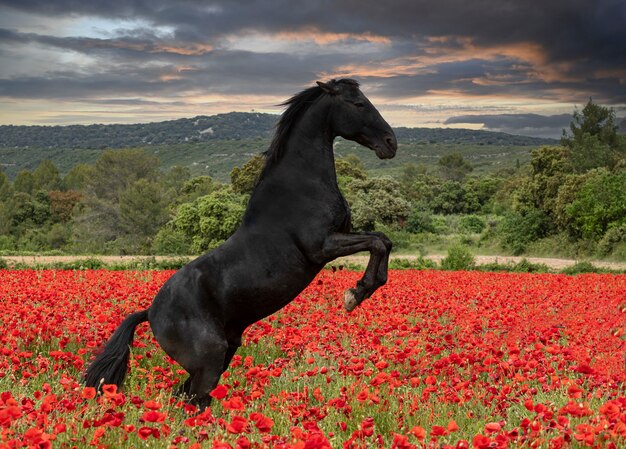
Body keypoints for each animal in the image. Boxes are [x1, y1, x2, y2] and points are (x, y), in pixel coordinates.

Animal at [84, 79, 394, 408]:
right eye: (359, 103)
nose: (391, 142)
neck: (301, 186)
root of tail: (150, 313)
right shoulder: (322, 246)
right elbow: (377, 243)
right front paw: (354, 295)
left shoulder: (338, 238)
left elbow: (383, 240)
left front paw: (362, 290)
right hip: (209, 361)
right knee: (193, 400)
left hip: (220, 357)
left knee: (185, 397)